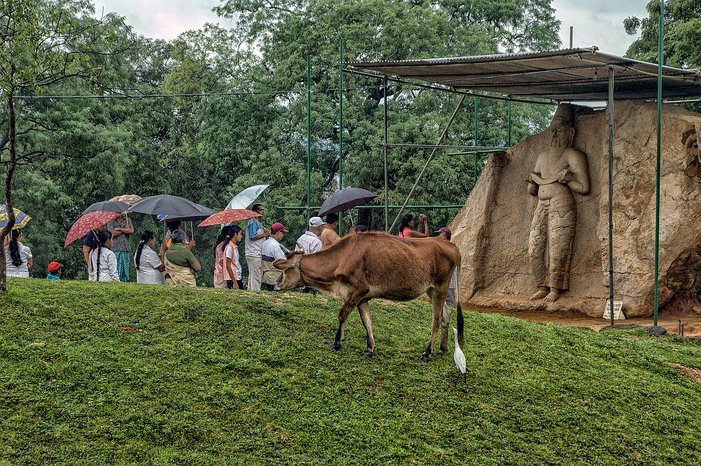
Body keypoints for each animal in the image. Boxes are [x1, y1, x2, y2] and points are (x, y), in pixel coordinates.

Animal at [270, 232, 462, 360]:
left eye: (287, 268)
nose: (276, 284)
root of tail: (451, 245)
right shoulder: (363, 298)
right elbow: (367, 321)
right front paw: (369, 348)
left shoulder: (358, 290)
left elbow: (342, 315)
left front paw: (337, 342)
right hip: (431, 290)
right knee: (446, 315)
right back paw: (442, 349)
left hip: (441, 287)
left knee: (436, 319)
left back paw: (427, 352)